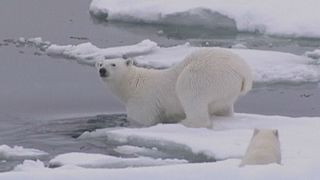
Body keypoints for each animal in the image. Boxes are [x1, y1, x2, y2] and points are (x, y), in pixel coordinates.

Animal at [95, 48, 252, 128]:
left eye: (113, 64)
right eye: (101, 64)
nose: (102, 70)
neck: (133, 84)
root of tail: (243, 71)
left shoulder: (143, 101)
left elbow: (142, 119)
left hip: (206, 74)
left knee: (189, 91)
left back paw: (186, 122)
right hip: (227, 89)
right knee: (223, 106)